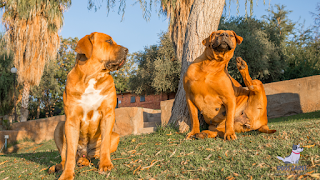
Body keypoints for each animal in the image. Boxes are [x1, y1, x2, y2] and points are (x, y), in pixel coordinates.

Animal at [47, 31, 127, 179]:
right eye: (108, 41)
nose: (127, 50)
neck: (92, 76)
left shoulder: (108, 114)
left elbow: (105, 144)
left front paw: (105, 165)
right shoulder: (71, 120)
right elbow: (69, 153)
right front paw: (67, 174)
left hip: (115, 136)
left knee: (93, 154)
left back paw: (85, 161)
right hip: (59, 126)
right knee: (66, 156)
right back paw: (58, 166)